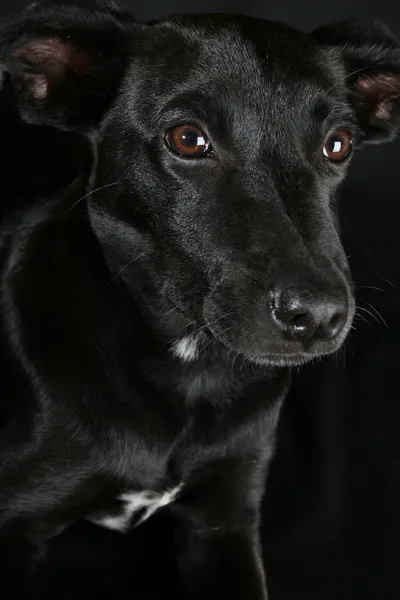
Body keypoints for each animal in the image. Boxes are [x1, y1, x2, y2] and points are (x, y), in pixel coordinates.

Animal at [0, 0, 400, 596]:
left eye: (338, 144)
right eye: (188, 138)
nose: (318, 318)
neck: (186, 367)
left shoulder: (224, 517)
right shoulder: (12, 520)